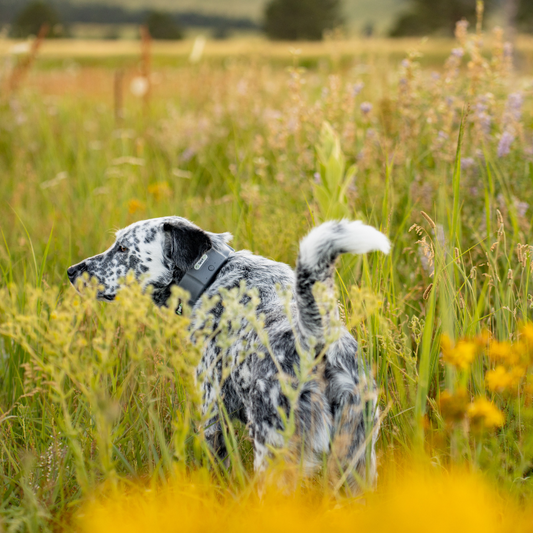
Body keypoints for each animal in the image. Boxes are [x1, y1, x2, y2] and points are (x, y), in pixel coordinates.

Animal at [68, 216, 388, 486]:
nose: (71, 271)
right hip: (355, 464)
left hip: (274, 456)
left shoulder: (212, 415)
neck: (212, 277)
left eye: (123, 248)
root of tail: (317, 342)